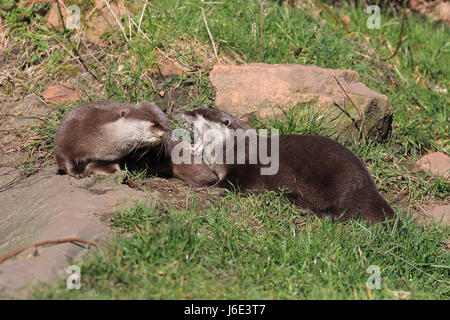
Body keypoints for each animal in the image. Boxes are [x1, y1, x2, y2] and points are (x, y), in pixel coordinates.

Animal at [182, 108, 394, 225]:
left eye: (202, 113)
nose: (185, 112)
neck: (232, 148)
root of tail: (369, 187)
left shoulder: (246, 169)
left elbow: (233, 186)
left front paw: (206, 188)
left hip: (342, 184)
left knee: (344, 213)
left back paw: (308, 211)